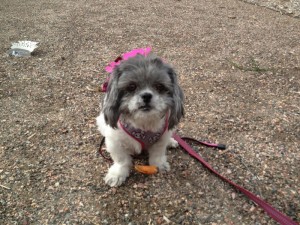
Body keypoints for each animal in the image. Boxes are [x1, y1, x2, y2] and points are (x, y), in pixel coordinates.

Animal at [97, 48, 184, 187]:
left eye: (159, 86)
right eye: (132, 86)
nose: (147, 95)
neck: (143, 122)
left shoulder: (162, 137)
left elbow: (158, 153)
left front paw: (160, 164)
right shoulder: (115, 141)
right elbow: (121, 160)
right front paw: (117, 174)